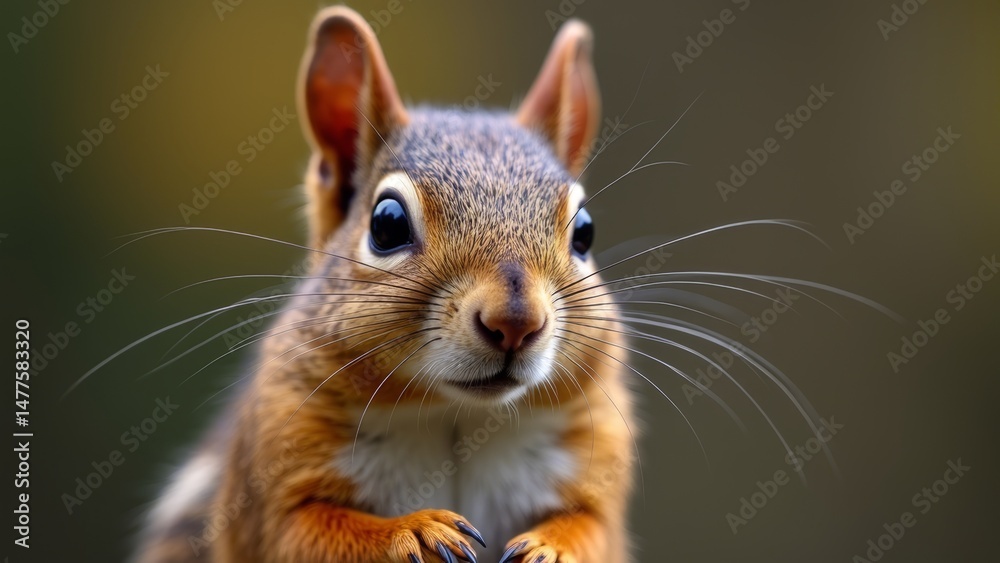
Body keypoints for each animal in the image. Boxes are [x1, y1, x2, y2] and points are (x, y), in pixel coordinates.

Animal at [135, 7, 635, 563]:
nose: (515, 322)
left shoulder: (596, 463)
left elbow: (594, 527)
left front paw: (553, 546)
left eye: (585, 231)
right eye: (387, 224)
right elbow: (305, 532)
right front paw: (415, 529)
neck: (455, 416)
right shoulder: (277, 476)